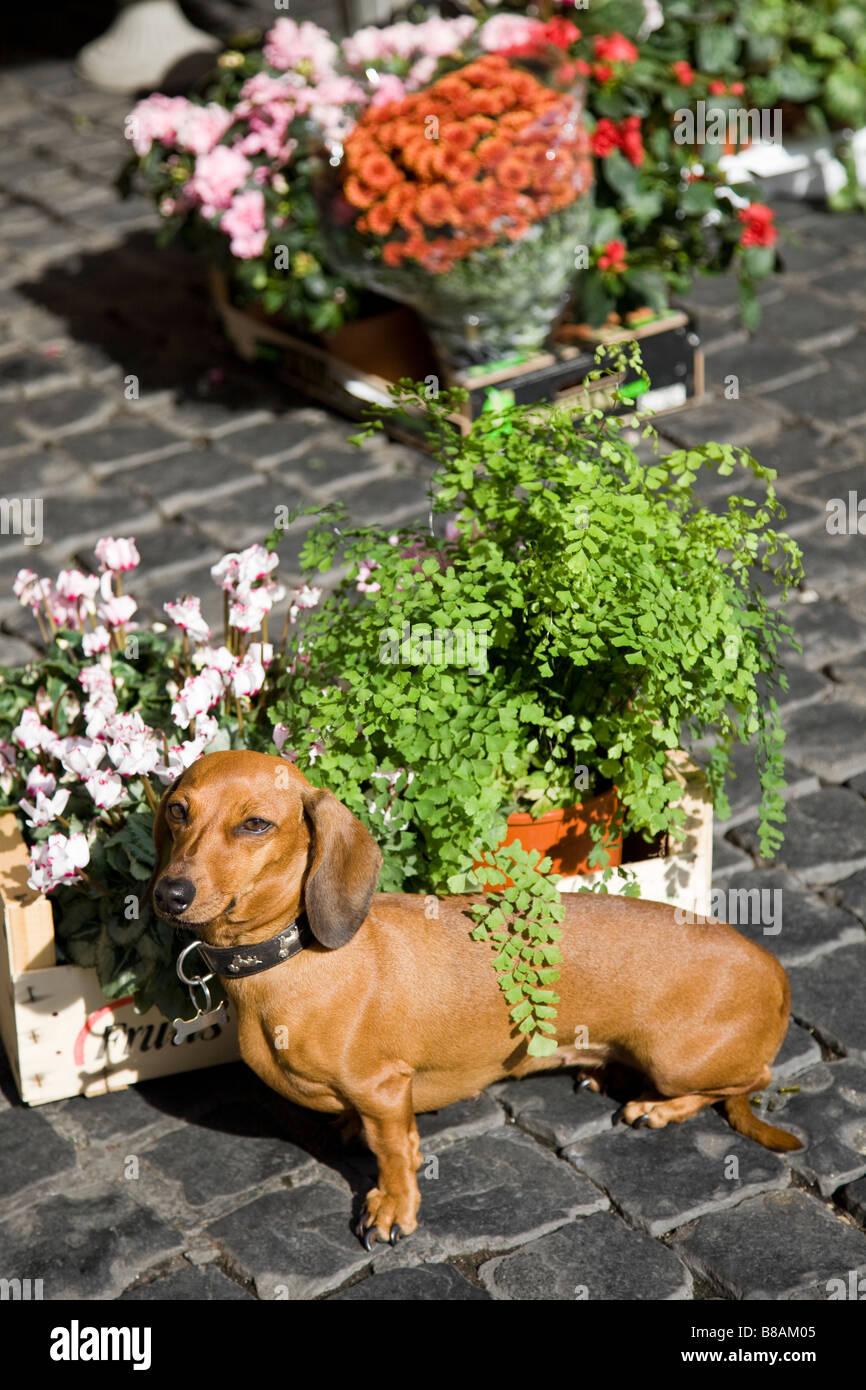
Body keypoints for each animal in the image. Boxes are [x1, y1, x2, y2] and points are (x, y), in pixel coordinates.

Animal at [150, 750, 806, 1251]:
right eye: (178, 811)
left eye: (256, 824)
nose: (168, 893)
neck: (294, 957)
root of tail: (773, 968)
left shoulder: (384, 1089)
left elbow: (394, 1152)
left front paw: (392, 1208)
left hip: (677, 1061)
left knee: (748, 1081)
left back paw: (657, 1108)